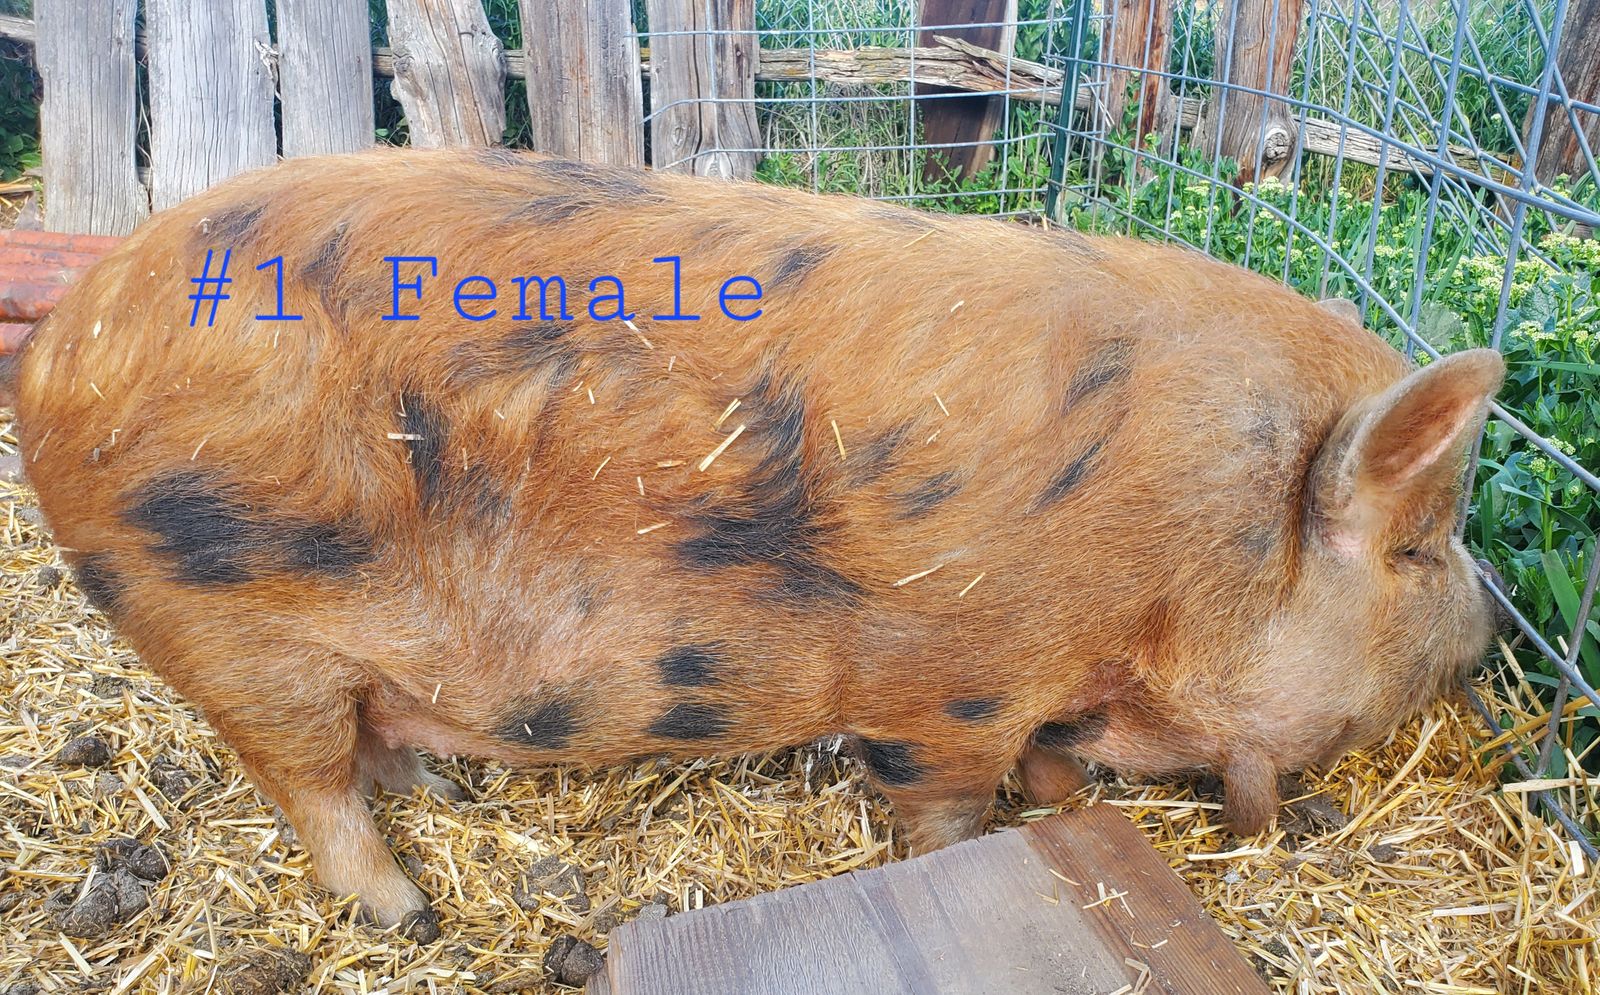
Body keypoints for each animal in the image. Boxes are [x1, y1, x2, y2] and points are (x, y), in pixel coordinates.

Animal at [10, 147, 1504, 935]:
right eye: (1416, 552)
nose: (1492, 631)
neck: (1185, 560)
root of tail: (67, 337)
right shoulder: (951, 676)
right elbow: (949, 796)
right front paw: (992, 832)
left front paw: (1069, 789)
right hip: (228, 619)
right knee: (305, 780)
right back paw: (409, 909)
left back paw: (437, 790)